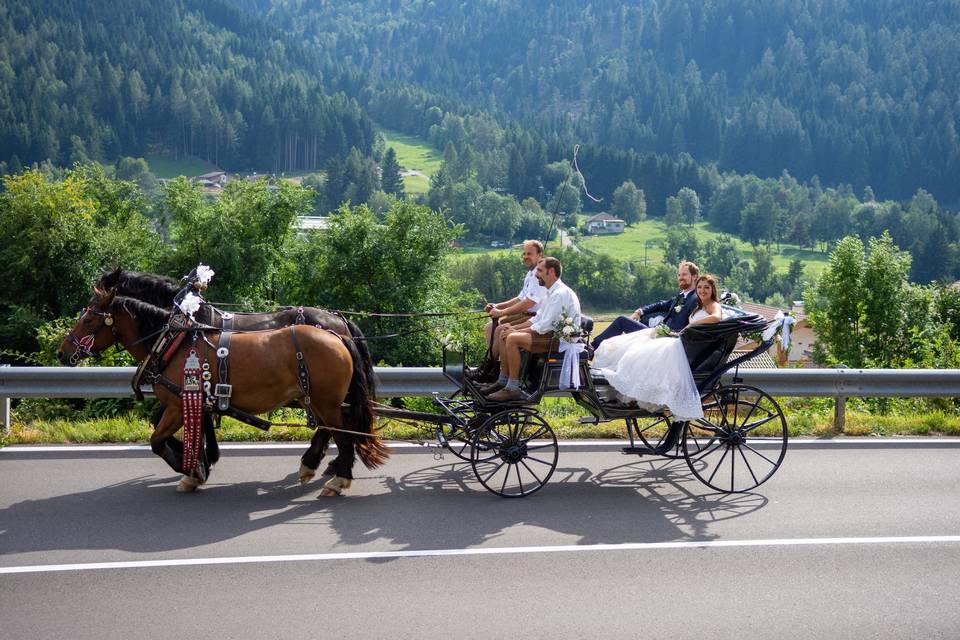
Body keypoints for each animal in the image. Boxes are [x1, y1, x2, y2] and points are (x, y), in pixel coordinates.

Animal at [58, 290, 388, 496]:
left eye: (89, 319)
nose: (63, 353)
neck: (174, 342)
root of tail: (338, 333)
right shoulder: (197, 402)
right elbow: (192, 433)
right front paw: (199, 462)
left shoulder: (178, 405)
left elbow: (157, 440)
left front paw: (191, 468)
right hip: (322, 402)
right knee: (333, 431)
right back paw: (319, 467)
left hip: (326, 402)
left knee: (342, 435)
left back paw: (338, 478)